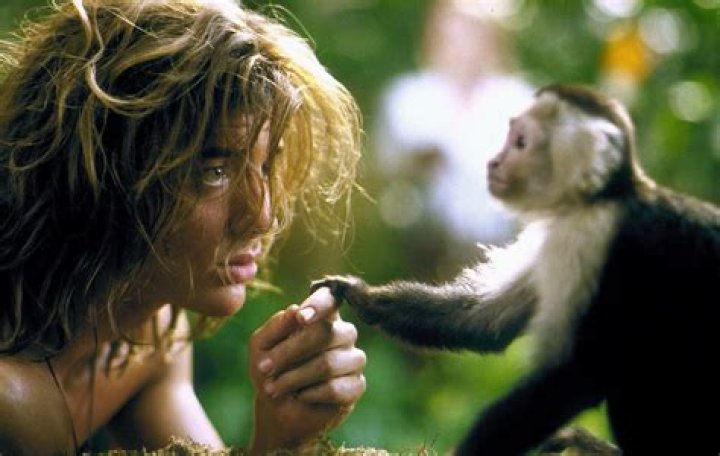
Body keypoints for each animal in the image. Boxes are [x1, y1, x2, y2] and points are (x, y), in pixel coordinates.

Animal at [312, 84, 720, 455]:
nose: (493, 161)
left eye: (521, 142)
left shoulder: (591, 240)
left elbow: (575, 376)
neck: (600, 198)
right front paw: (358, 293)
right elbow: (483, 321)